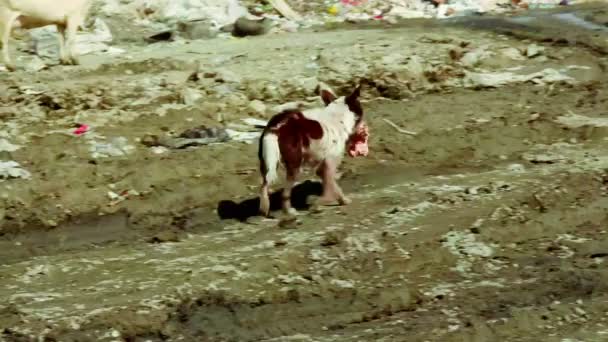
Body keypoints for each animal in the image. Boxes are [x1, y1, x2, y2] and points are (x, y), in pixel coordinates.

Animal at [256, 83, 366, 216]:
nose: (364, 127)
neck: (337, 115)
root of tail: (276, 127)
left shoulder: (323, 165)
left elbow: (333, 186)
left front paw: (342, 200)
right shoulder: (330, 162)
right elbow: (330, 186)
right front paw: (321, 203)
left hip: (267, 162)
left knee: (264, 185)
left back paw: (264, 208)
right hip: (295, 165)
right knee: (285, 193)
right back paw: (289, 211)